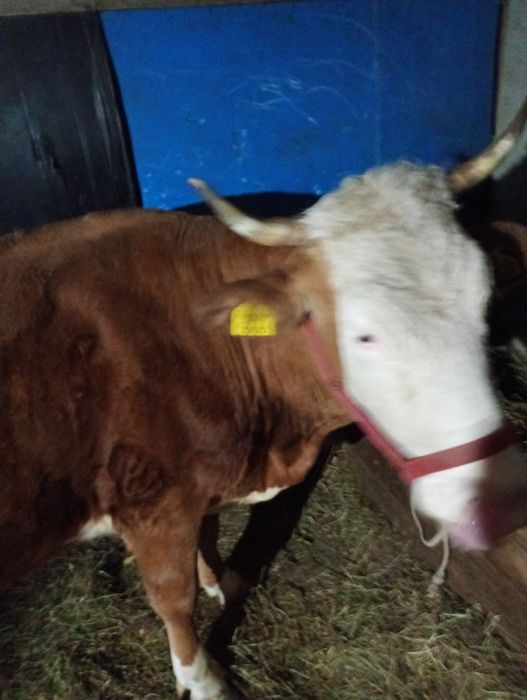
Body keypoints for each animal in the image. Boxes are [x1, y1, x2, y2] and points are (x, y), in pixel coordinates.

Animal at [1, 99, 526, 699]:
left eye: (485, 296)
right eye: (364, 335)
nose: (502, 497)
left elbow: (207, 545)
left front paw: (219, 583)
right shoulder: (155, 505)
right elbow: (173, 600)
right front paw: (204, 679)